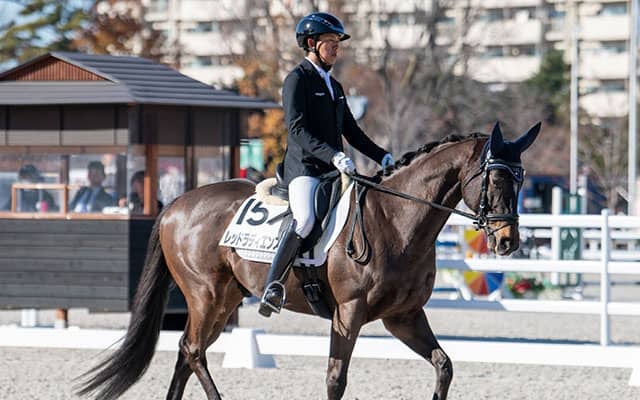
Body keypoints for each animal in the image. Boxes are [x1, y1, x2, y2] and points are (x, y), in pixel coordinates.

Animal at [77, 121, 540, 400]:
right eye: (495, 179)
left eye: (520, 180)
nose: (508, 242)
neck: (396, 221)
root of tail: (175, 204)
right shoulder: (348, 314)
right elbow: (336, 378)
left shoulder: (403, 316)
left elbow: (444, 366)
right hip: (205, 295)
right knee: (192, 351)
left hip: (225, 298)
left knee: (187, 352)